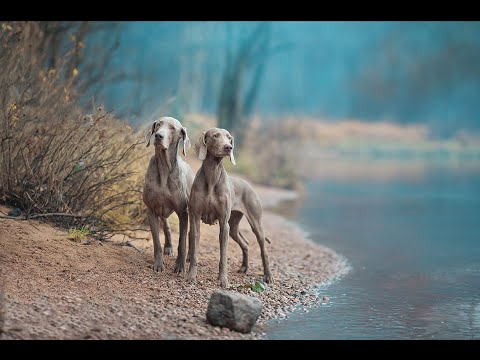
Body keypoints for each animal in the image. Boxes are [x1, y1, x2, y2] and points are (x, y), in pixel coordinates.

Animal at [143, 117, 194, 272]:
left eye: (173, 128)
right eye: (158, 124)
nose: (158, 136)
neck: (164, 168)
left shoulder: (183, 212)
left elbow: (182, 241)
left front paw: (180, 266)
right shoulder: (151, 210)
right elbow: (156, 241)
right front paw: (158, 264)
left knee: (191, 234)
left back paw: (190, 256)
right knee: (166, 226)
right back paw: (168, 247)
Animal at [187, 128, 272, 288]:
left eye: (229, 138)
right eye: (215, 136)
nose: (228, 147)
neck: (212, 174)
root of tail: (249, 185)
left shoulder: (223, 224)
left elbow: (223, 256)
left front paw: (223, 281)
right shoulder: (195, 218)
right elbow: (194, 251)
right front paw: (191, 276)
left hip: (255, 223)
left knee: (263, 250)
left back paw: (268, 276)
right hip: (233, 225)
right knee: (245, 243)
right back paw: (244, 267)